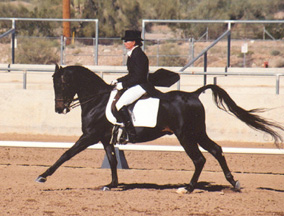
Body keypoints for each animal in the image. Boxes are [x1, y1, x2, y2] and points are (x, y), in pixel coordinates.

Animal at [36, 64, 282, 192]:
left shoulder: (89, 136)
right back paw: (233, 182)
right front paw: (112, 184)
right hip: (197, 133)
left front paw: (42, 177)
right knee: (216, 150)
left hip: (185, 136)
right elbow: (113, 161)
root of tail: (193, 94)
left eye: (62, 84)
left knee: (199, 159)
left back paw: (188, 188)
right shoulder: (104, 138)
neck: (97, 100)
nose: (59, 109)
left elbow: (66, 154)